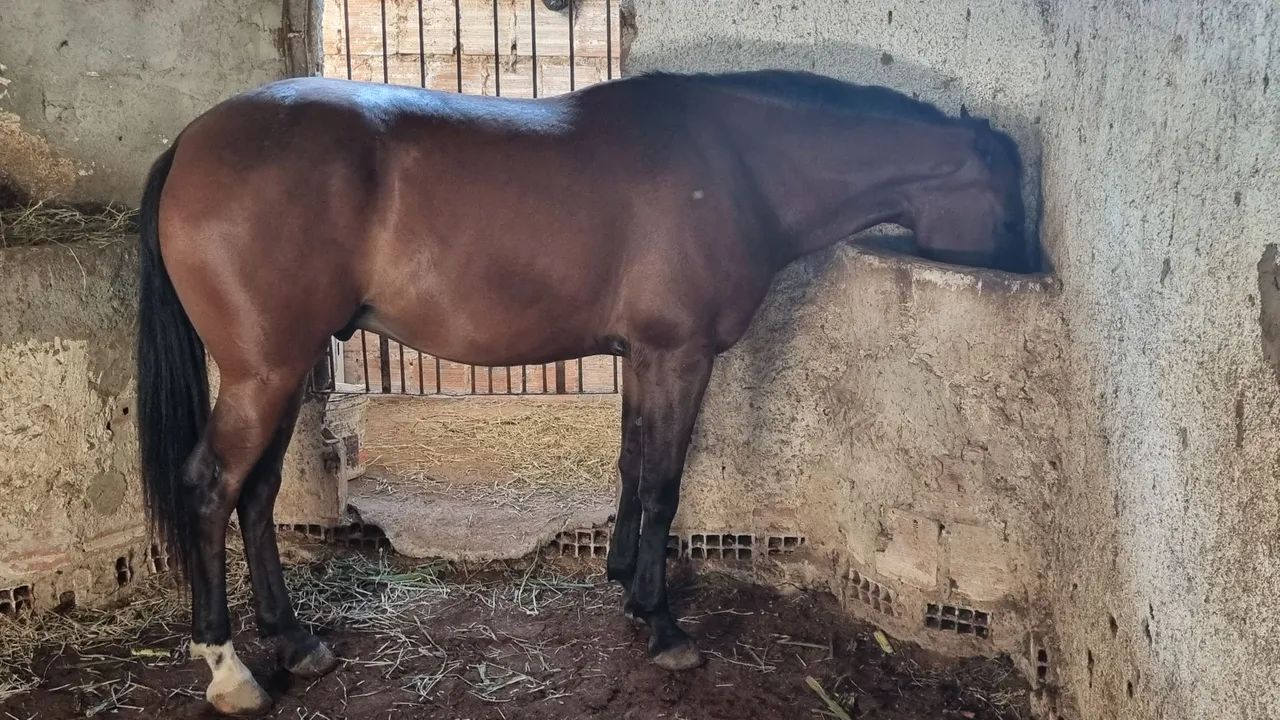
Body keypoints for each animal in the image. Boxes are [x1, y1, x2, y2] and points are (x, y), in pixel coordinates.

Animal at [135, 68, 1032, 716]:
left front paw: (625, 581)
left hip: (283, 374)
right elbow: (665, 484)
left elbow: (633, 467)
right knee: (212, 488)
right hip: (265, 373)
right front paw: (663, 624)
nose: (1028, 270)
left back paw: (296, 641)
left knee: (257, 494)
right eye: (1011, 204)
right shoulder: (679, 356)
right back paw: (230, 670)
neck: (739, 165)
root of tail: (190, 142)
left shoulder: (643, 358)